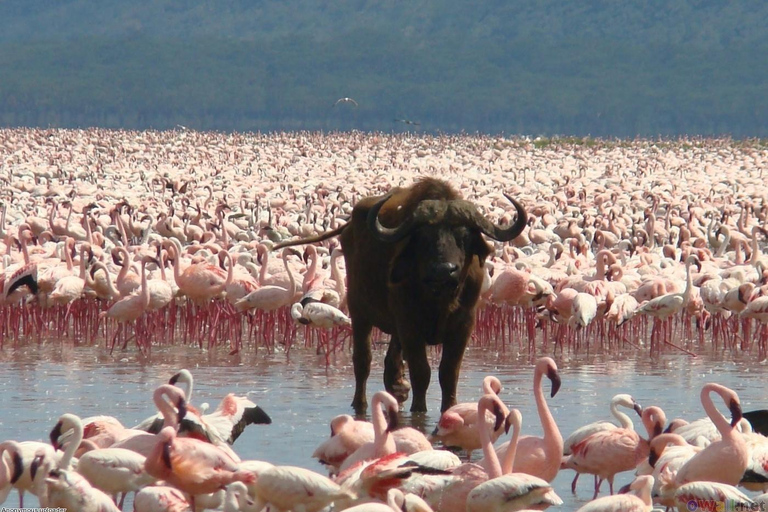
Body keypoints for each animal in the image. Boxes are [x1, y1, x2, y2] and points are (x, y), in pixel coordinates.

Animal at [276, 179, 528, 412]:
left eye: (464, 235)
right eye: (424, 237)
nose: (444, 270)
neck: (439, 299)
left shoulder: (464, 324)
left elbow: (449, 373)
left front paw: (449, 408)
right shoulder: (409, 324)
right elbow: (421, 372)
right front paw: (419, 410)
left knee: (390, 363)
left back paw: (396, 389)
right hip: (359, 313)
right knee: (362, 361)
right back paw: (360, 403)